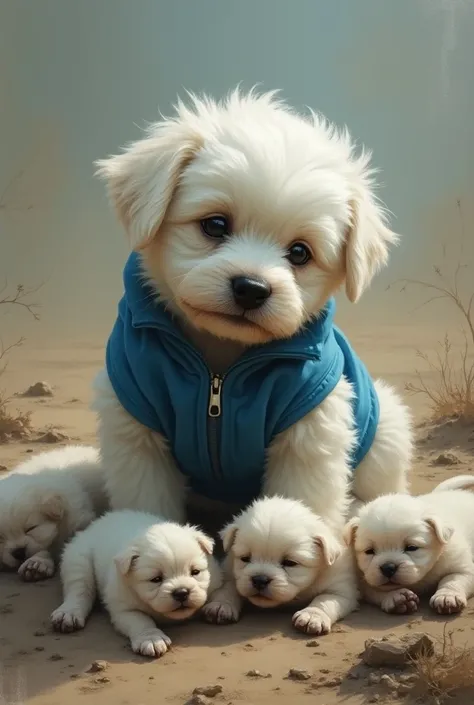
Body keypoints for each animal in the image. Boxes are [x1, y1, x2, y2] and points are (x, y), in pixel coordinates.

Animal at [51, 508, 222, 656]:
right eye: (156, 579)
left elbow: (222, 591)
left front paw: (219, 607)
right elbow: (141, 620)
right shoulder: (124, 609)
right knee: (78, 589)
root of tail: (96, 523)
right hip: (78, 559)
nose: (181, 592)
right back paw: (68, 613)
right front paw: (152, 639)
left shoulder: (215, 579)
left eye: (195, 572)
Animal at [202, 496, 358, 632]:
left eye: (290, 562)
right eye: (245, 558)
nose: (260, 580)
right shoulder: (230, 573)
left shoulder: (340, 589)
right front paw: (221, 605)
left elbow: (324, 599)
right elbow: (227, 588)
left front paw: (312, 615)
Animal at [342, 476, 474, 612]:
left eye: (411, 547)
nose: (388, 567)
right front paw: (396, 597)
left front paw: (447, 596)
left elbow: (452, 579)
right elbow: (377, 590)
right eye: (369, 551)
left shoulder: (461, 566)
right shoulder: (366, 581)